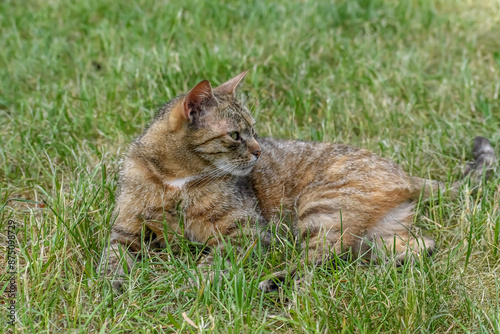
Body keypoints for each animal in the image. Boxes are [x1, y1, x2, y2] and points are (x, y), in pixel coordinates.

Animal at [101, 72, 496, 290]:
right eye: (236, 135)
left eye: (253, 130)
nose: (259, 151)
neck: (175, 179)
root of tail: (404, 172)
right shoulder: (126, 230)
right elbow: (112, 259)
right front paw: (114, 285)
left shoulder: (244, 232)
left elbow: (211, 262)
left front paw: (193, 282)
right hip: (371, 232)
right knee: (418, 246)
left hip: (319, 208)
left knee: (316, 260)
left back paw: (273, 283)